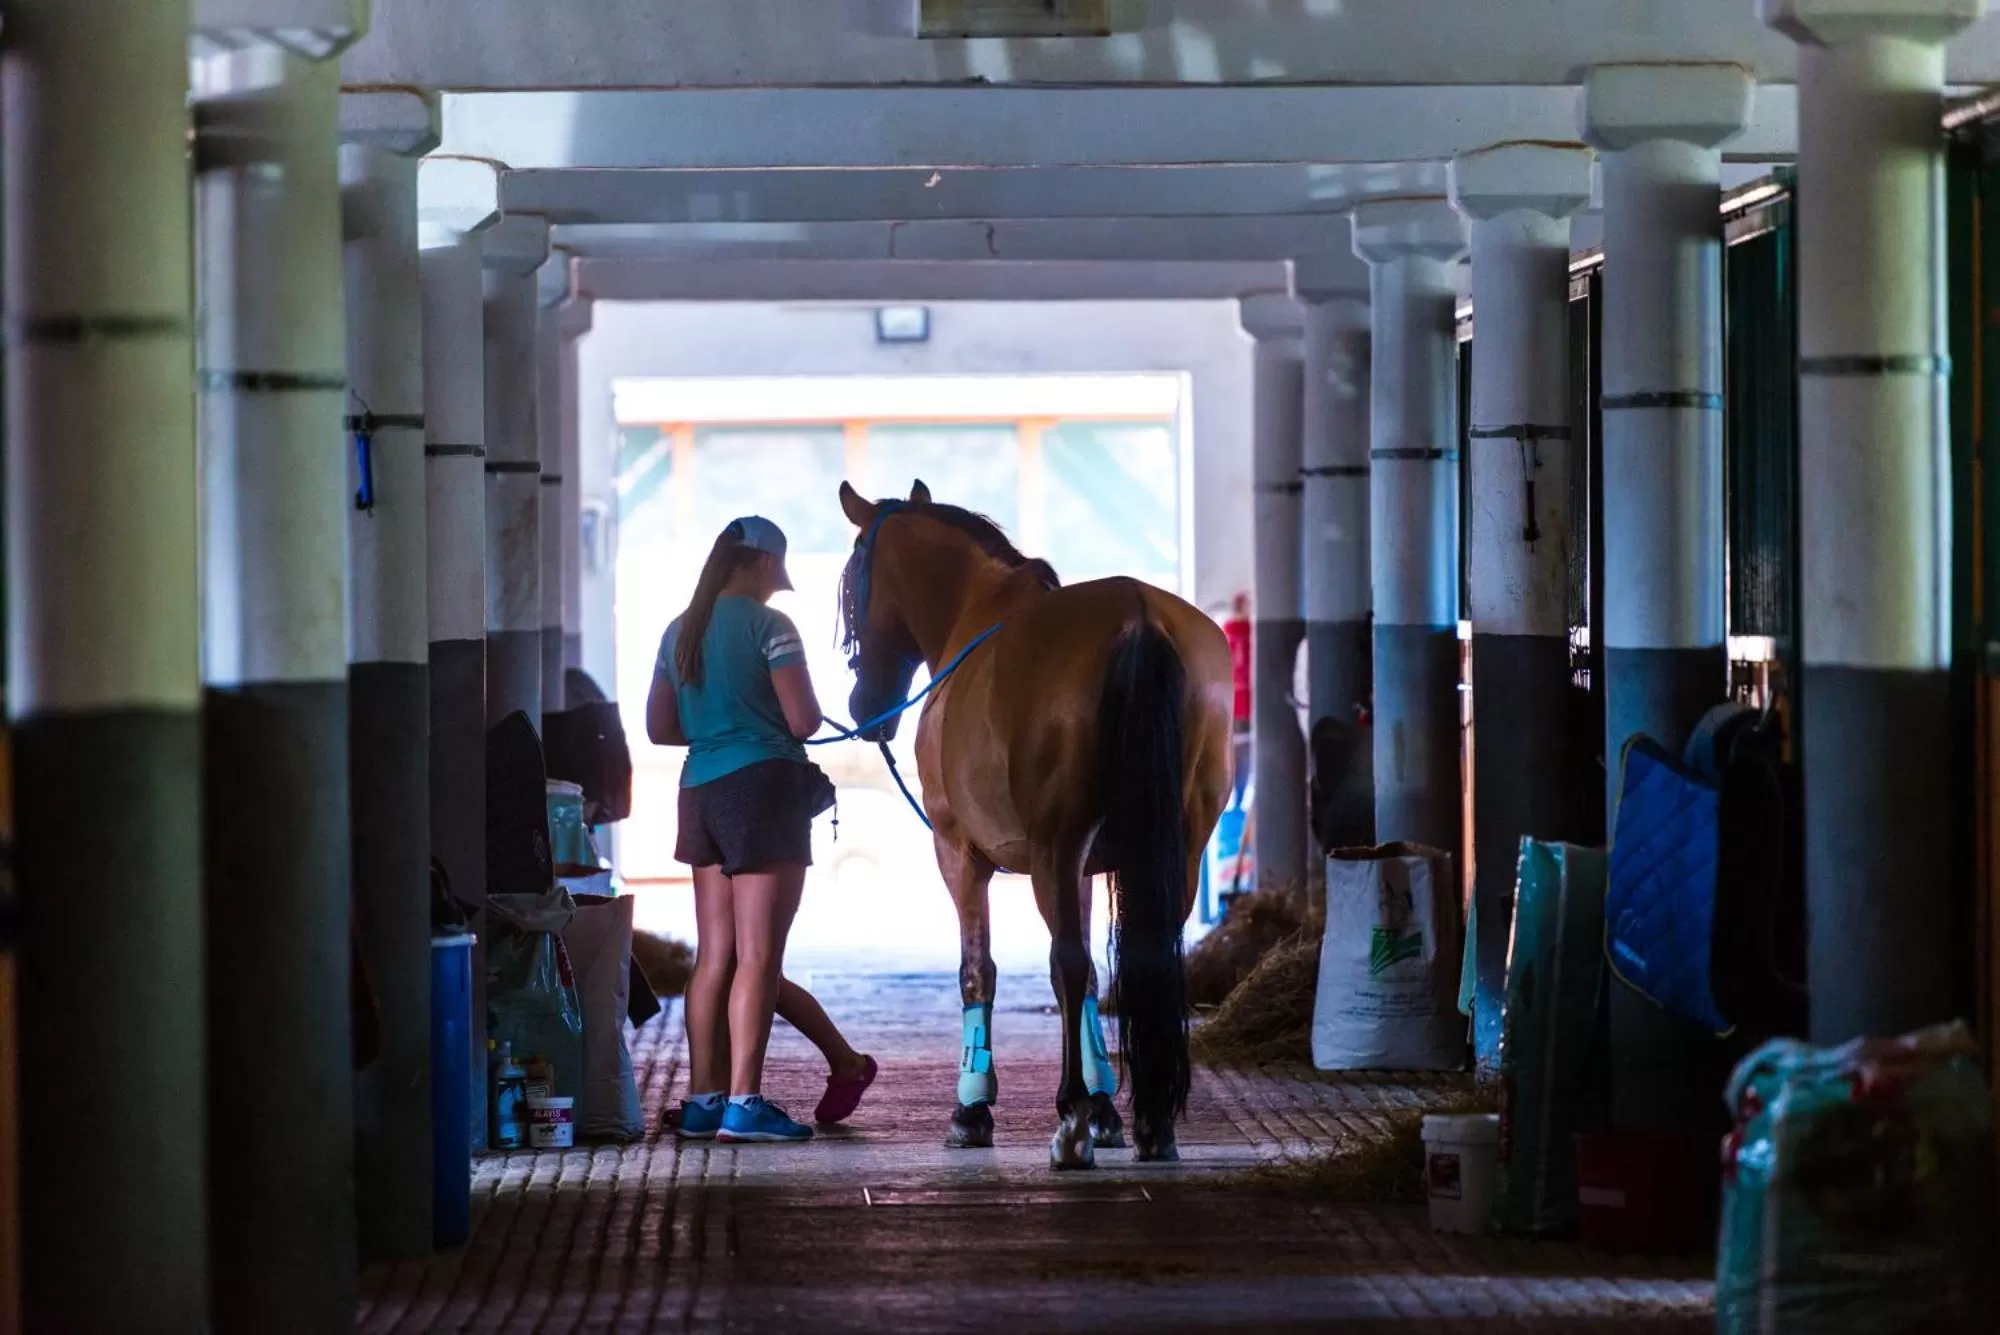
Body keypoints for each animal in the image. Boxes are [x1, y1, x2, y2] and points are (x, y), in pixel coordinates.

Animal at [836, 479, 1234, 1168]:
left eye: (851, 590)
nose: (867, 708)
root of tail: (1138, 617)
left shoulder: (960, 853)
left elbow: (982, 971)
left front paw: (974, 1109)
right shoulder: (1089, 867)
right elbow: (1089, 976)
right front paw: (1105, 1109)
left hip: (1055, 847)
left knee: (1069, 961)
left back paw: (1069, 1124)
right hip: (1175, 849)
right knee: (1148, 958)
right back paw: (1152, 1120)